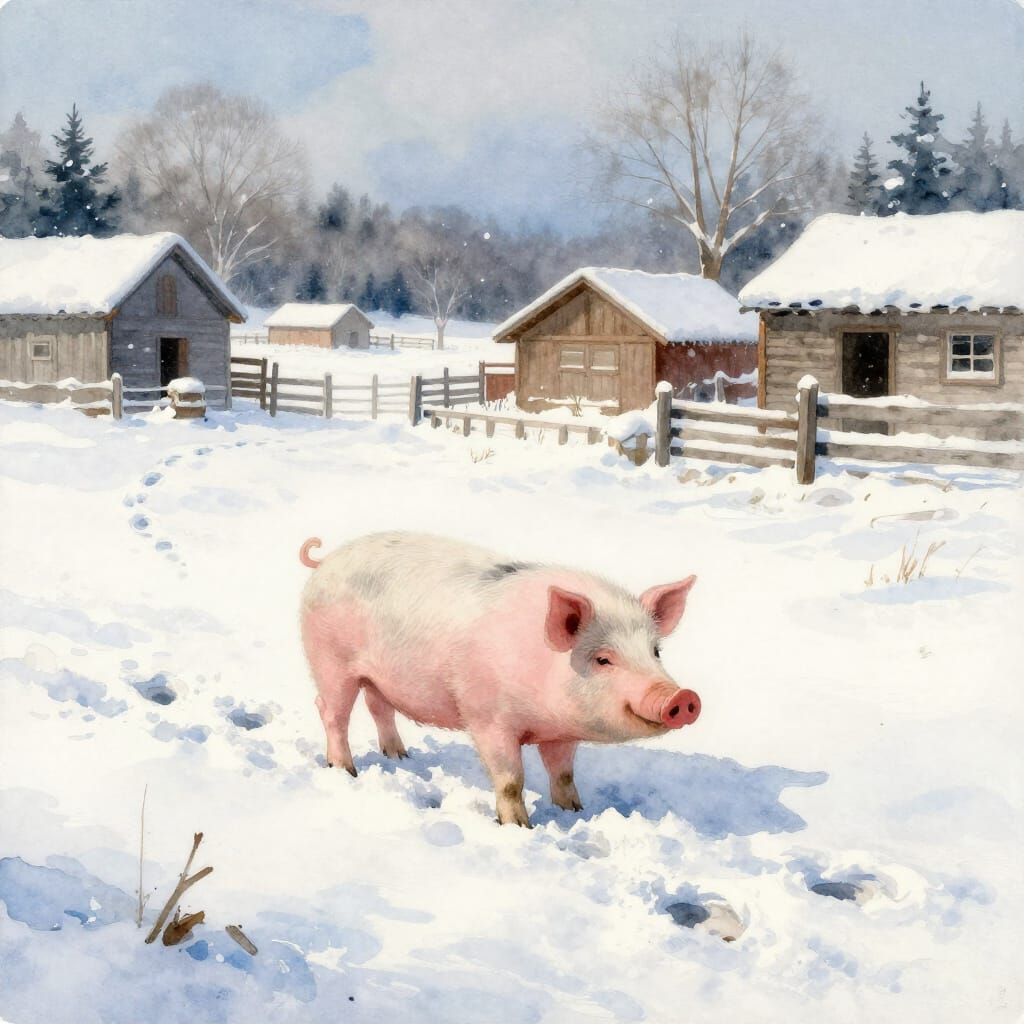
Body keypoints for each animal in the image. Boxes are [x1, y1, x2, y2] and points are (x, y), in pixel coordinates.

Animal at [299, 532, 700, 827]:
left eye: (655, 651)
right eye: (603, 659)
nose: (682, 698)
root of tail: (327, 560)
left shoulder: (561, 734)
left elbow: (563, 774)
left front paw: (574, 811)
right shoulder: (487, 718)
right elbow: (510, 780)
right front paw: (520, 827)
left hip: (378, 676)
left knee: (378, 706)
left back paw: (400, 755)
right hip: (329, 660)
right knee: (330, 710)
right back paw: (345, 770)